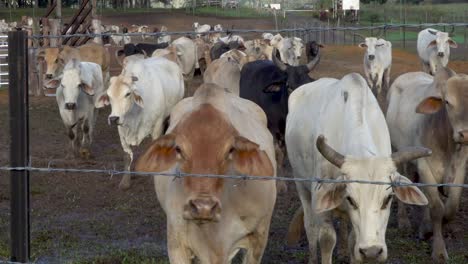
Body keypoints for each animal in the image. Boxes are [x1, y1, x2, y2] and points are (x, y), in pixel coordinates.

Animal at [97, 56, 185, 189]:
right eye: (109, 95)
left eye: (127, 94)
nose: (113, 118)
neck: (134, 116)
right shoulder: (121, 131)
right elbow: (127, 156)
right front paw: (125, 181)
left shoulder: (157, 127)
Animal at [286, 72, 428, 264]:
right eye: (351, 199)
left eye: (388, 199)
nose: (372, 251)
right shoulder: (320, 195)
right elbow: (326, 238)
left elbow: (353, 239)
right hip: (301, 184)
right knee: (310, 227)